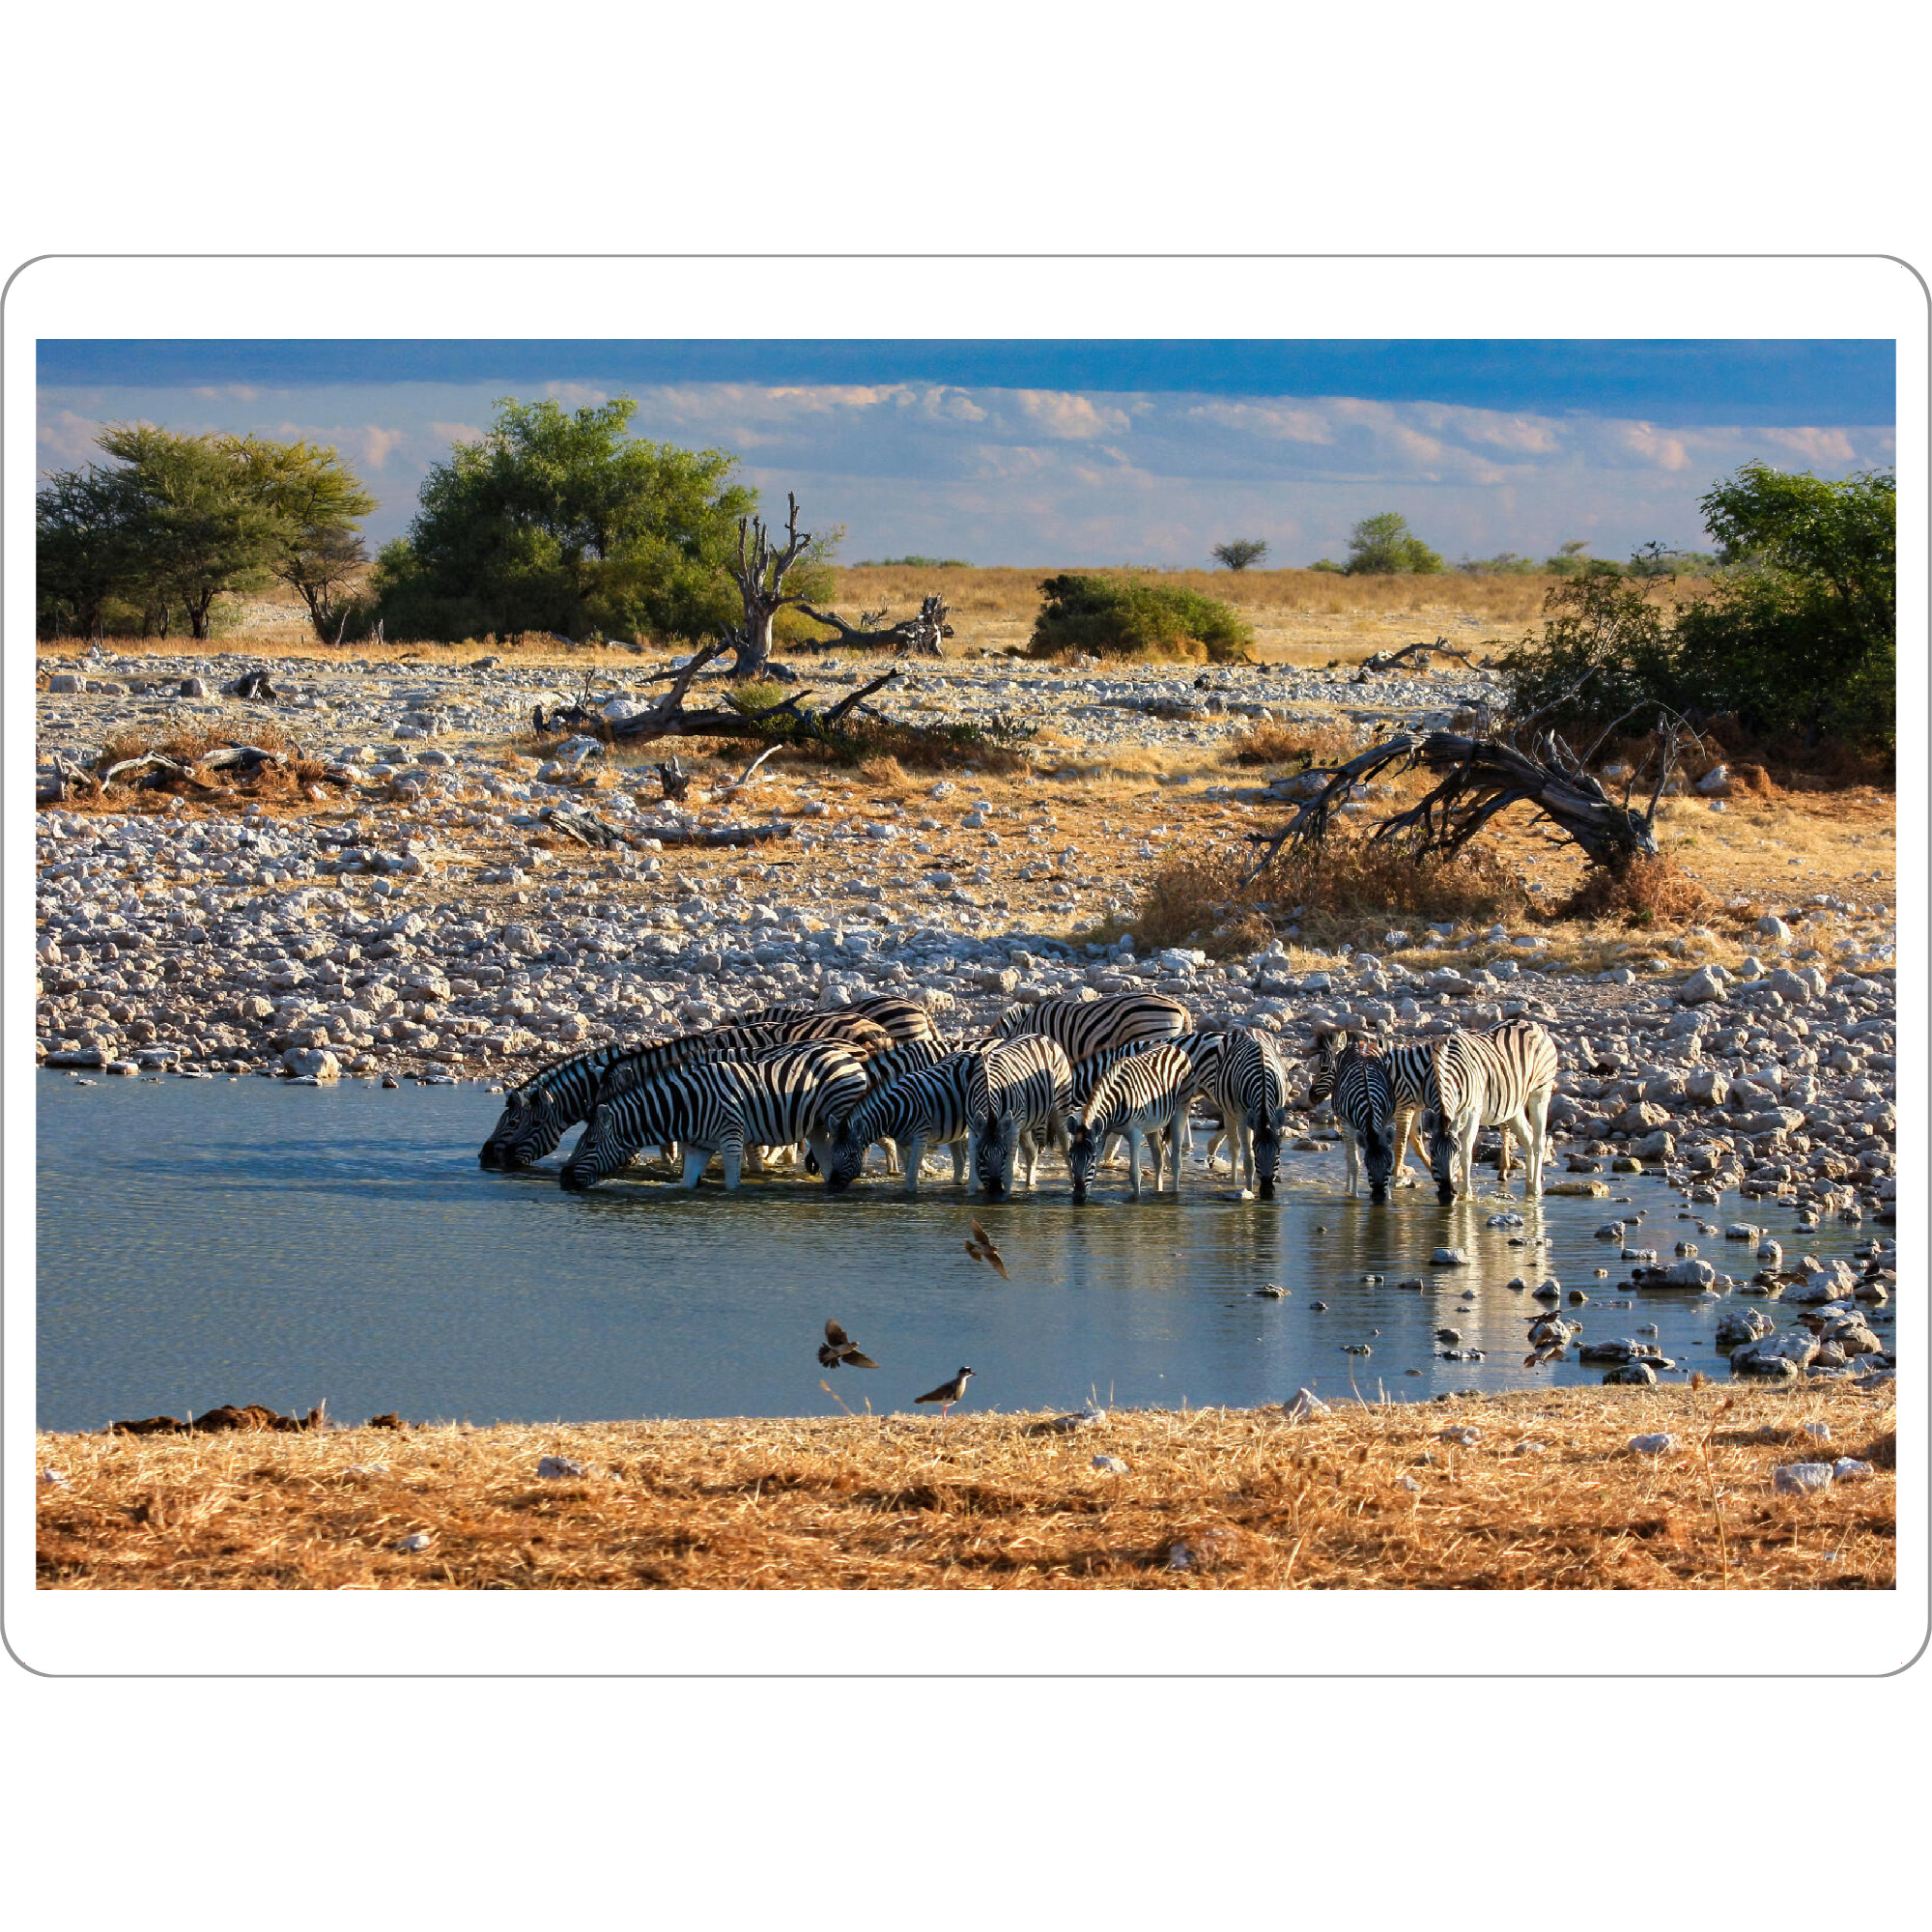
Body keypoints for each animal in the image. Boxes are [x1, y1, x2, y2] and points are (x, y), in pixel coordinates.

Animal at [560, 1041, 870, 1192]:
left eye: (590, 1145)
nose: (563, 1180)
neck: (684, 1105)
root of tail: (846, 1055)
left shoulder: (731, 1138)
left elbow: (732, 1186)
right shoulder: (699, 1146)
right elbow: (687, 1184)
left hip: (839, 1115)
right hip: (818, 1127)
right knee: (827, 1159)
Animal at [969, 1035, 1073, 1199]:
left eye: (1004, 1154)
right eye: (982, 1156)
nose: (995, 1191)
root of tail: (1044, 1036)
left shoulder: (1012, 1128)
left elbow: (1009, 1167)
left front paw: (1006, 1195)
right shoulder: (972, 1127)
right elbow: (973, 1163)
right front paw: (972, 1193)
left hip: (1060, 1104)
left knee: (1066, 1147)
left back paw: (1075, 1186)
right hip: (1025, 1122)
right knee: (1031, 1153)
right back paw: (1030, 1186)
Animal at [1066, 1043, 1195, 1202]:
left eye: (1092, 1158)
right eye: (1071, 1156)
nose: (1078, 1197)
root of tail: (1173, 1047)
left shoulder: (1135, 1134)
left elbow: (1135, 1173)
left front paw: (1136, 1201)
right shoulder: (1103, 1132)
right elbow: (1094, 1173)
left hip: (1181, 1109)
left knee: (1176, 1161)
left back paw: (1175, 1195)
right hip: (1153, 1124)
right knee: (1158, 1159)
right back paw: (1158, 1192)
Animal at [1214, 1027, 1290, 1198]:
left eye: (1278, 1151)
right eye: (1257, 1150)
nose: (1267, 1193)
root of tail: (1247, 1028)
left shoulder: (1277, 1113)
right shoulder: (1243, 1116)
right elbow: (1249, 1160)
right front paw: (1248, 1191)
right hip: (1228, 1111)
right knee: (1234, 1148)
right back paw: (1233, 1183)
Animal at [1428, 1019, 1560, 1203]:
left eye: (1456, 1152)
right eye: (1432, 1152)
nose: (1447, 1196)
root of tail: (1533, 1024)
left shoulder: (1473, 1111)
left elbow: (1467, 1152)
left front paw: (1465, 1195)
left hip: (1540, 1092)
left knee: (1539, 1141)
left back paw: (1535, 1190)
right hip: (1514, 1105)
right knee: (1527, 1137)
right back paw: (1528, 1185)